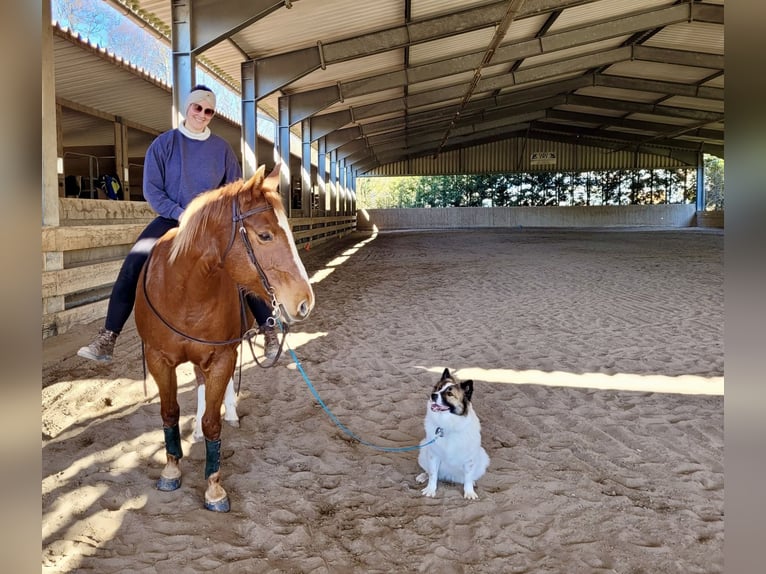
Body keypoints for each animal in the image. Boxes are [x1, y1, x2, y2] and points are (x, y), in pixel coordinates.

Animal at [134, 163, 315, 512]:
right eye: (265, 235)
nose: (304, 302)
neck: (186, 292)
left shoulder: (221, 356)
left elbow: (212, 422)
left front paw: (214, 488)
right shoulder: (158, 359)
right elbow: (170, 412)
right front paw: (171, 469)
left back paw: (229, 411)